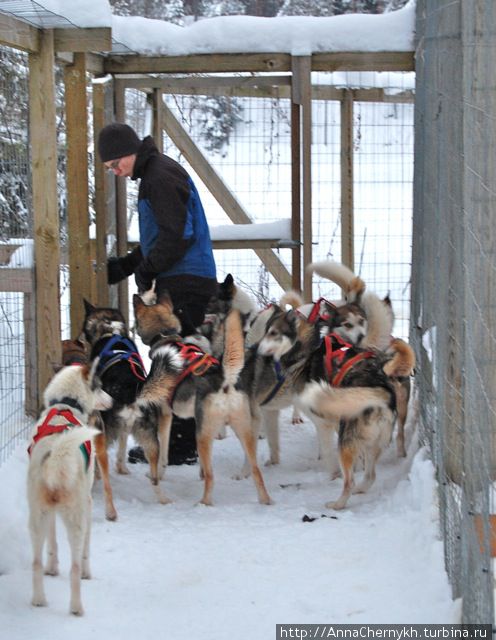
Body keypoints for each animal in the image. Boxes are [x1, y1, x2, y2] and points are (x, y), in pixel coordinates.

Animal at [27, 360, 112, 616]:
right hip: (76, 518)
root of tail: (56, 456)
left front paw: (52, 567)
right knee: (74, 566)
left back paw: (39, 599)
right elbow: (85, 552)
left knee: (36, 562)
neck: (66, 405)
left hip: (38, 517)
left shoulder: (50, 514)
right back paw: (76, 607)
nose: (112, 400)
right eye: (99, 386)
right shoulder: (87, 503)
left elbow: (52, 544)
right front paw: (87, 572)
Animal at [132, 292, 272, 508]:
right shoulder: (195, 418)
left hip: (204, 436)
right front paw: (198, 473)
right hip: (242, 431)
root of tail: (225, 379)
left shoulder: (165, 415)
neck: (166, 336)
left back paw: (203, 503)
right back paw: (265, 500)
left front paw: (158, 473)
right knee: (256, 470)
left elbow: (163, 451)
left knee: (211, 476)